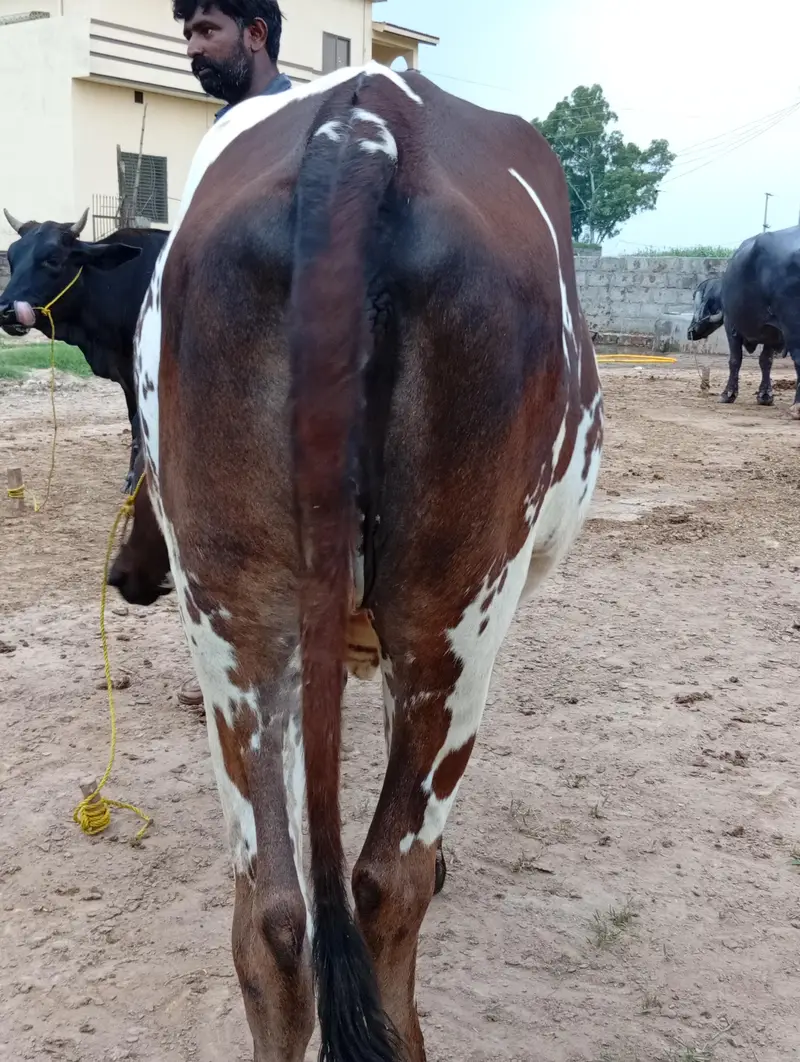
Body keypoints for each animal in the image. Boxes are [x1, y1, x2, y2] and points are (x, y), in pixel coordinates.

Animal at [107, 63, 603, 1062]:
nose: (124, 574)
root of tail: (362, 126)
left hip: (232, 613)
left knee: (273, 914)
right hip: (458, 611)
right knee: (383, 885)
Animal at [687, 225, 800, 415]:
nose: (690, 332)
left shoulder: (731, 326)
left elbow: (735, 360)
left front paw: (728, 394)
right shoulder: (771, 332)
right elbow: (765, 361)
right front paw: (765, 395)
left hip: (792, 327)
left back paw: (796, 407)